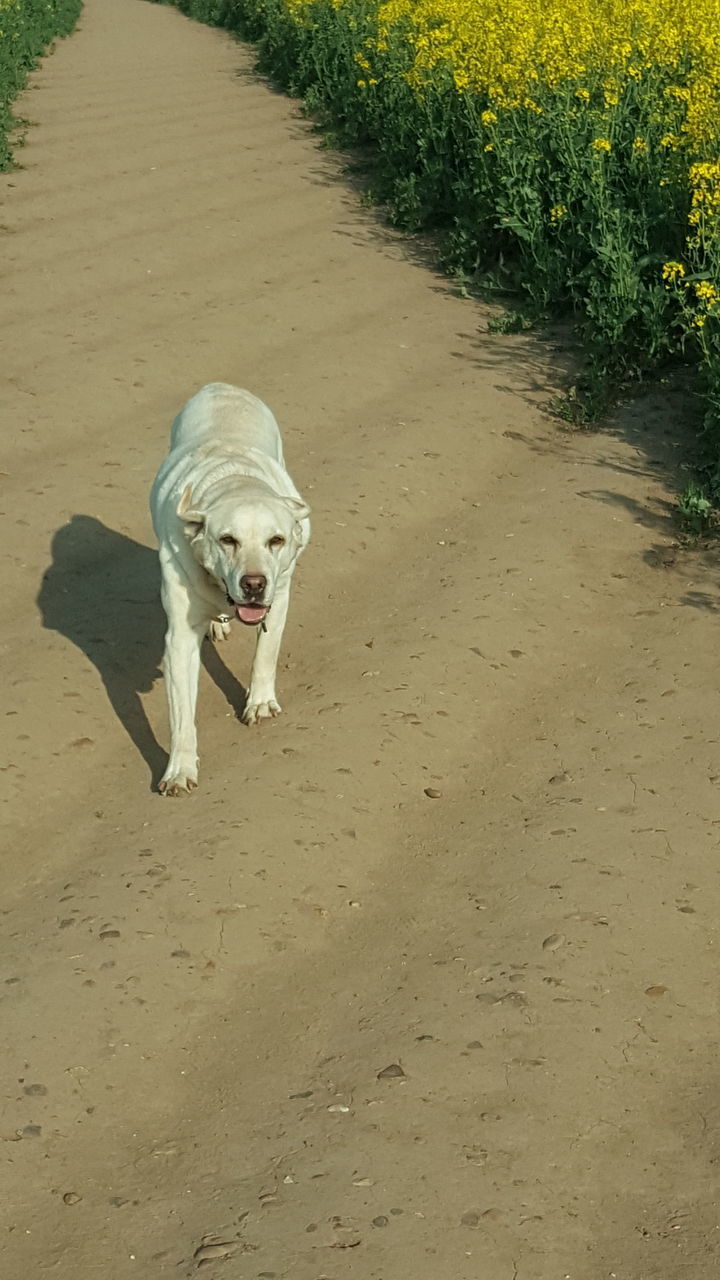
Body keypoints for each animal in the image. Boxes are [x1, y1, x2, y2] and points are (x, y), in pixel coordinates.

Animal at [148, 384, 308, 793]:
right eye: (227, 539)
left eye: (276, 540)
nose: (253, 583)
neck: (234, 477)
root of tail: (222, 387)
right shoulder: (179, 637)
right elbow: (181, 714)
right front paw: (179, 770)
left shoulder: (280, 597)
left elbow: (266, 651)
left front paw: (260, 703)